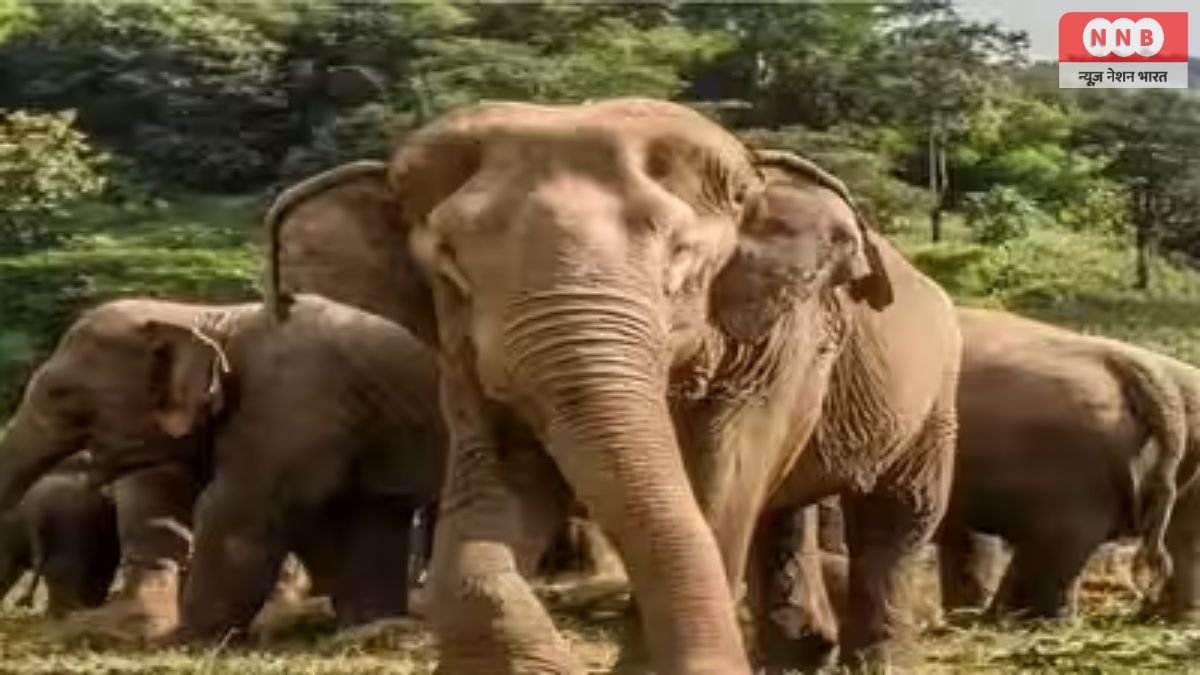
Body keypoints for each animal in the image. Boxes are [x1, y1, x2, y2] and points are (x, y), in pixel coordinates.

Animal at [265, 97, 962, 674]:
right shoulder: (464, 362)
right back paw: (798, 656)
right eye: (451, 268)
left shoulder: (779, 340)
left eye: (681, 259)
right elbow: (499, 485)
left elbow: (718, 487)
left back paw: (876, 661)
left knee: (897, 516)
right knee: (784, 513)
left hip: (937, 392)